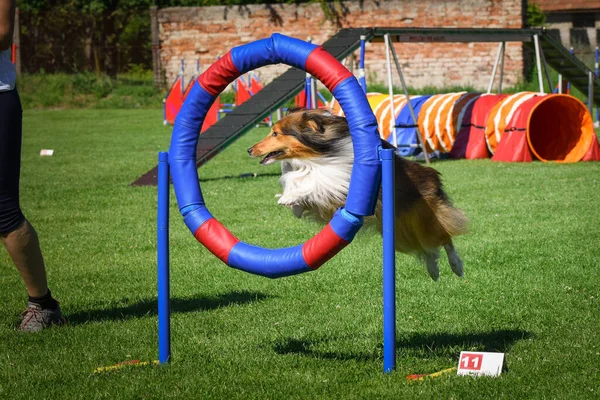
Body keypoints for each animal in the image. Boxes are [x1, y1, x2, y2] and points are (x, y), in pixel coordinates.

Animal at [248, 107, 468, 282]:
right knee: (428, 248)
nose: (250, 149)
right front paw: (294, 204)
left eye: (276, 134)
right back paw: (434, 271)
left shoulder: (341, 180)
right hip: (400, 234)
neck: (318, 153)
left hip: (424, 219)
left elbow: (317, 182)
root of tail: (432, 175)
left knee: (445, 238)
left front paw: (289, 197)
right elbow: (297, 179)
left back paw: (457, 266)